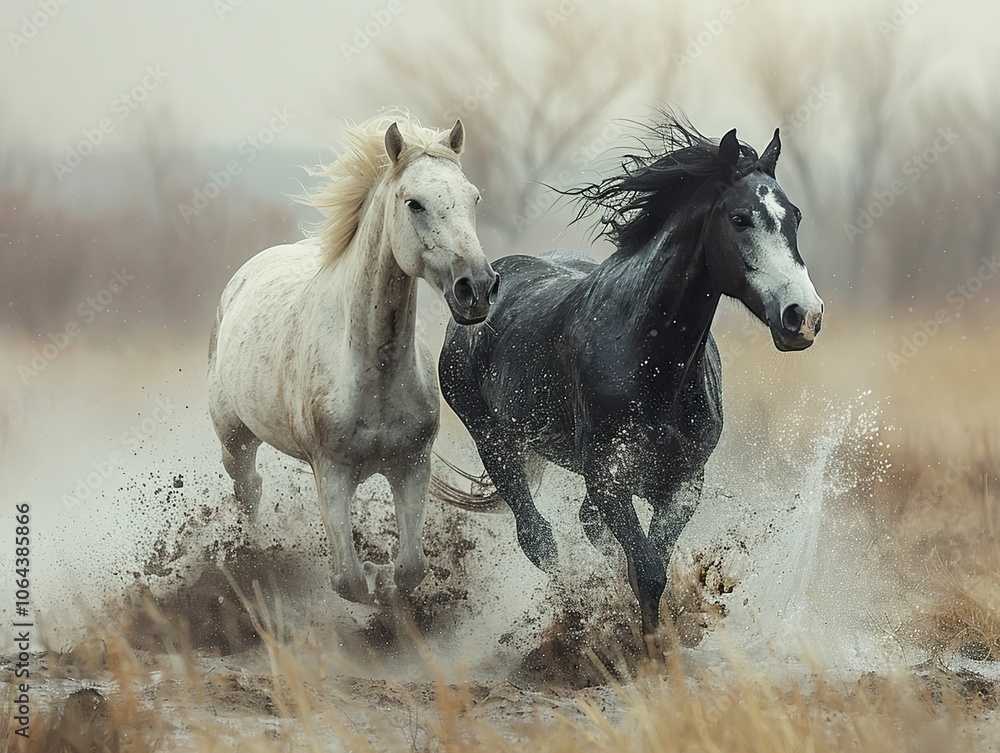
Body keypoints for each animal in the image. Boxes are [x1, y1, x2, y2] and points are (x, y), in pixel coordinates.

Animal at [208, 111, 499, 606]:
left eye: (473, 197)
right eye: (414, 203)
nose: (476, 287)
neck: (373, 374)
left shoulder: (412, 467)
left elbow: (411, 567)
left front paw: (386, 582)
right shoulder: (332, 473)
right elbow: (347, 580)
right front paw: (373, 579)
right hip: (235, 440)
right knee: (248, 489)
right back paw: (257, 560)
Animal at [438, 116, 823, 635]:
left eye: (795, 216)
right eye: (740, 218)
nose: (803, 316)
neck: (652, 363)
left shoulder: (682, 484)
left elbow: (648, 562)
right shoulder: (608, 477)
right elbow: (646, 569)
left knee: (582, 527)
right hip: (494, 442)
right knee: (538, 538)